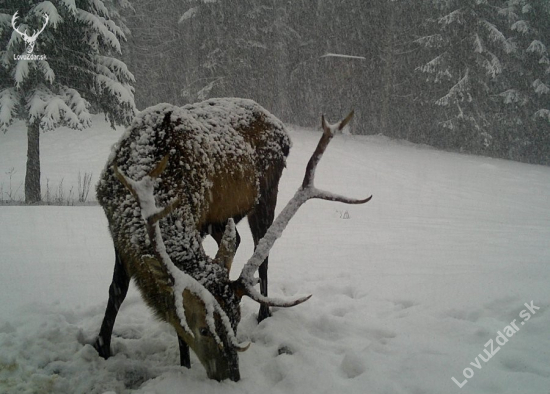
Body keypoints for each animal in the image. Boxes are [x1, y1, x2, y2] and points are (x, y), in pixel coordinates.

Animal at [95, 97, 374, 382]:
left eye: (236, 319)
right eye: (203, 329)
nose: (232, 376)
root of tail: (282, 130)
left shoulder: (197, 218)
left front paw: (183, 366)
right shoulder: (116, 233)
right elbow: (117, 290)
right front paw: (102, 348)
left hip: (266, 193)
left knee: (263, 252)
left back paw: (264, 313)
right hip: (222, 217)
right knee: (237, 240)